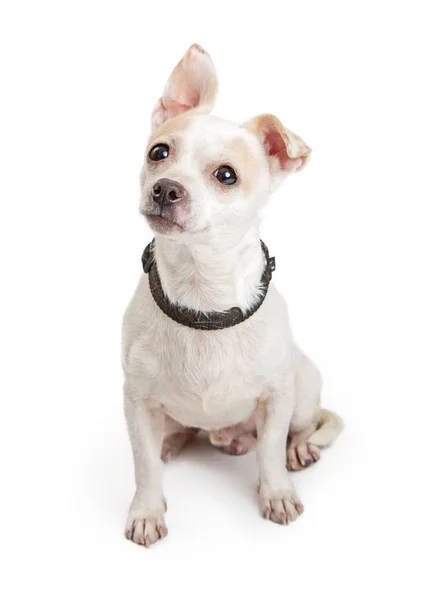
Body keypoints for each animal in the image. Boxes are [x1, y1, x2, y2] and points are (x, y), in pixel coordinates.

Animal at [122, 44, 342, 548]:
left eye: (226, 176)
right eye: (159, 152)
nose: (166, 188)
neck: (202, 294)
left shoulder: (277, 396)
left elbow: (270, 453)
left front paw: (277, 492)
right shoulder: (136, 401)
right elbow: (143, 465)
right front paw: (146, 511)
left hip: (304, 386)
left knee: (297, 429)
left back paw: (296, 448)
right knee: (178, 435)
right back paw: (176, 440)